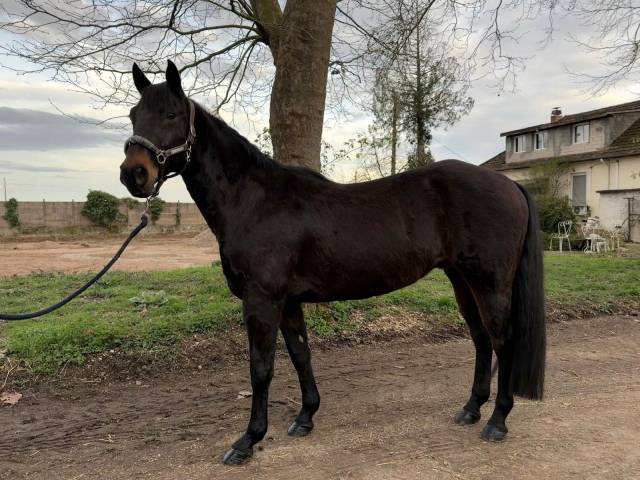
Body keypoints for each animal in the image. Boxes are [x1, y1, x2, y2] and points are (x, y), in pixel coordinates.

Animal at [120, 61, 546, 466]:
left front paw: (247, 441)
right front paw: (305, 417)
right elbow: (300, 355)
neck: (254, 201)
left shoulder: (262, 301)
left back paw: (497, 421)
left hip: (490, 284)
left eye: (172, 114)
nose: (133, 174)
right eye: (133, 114)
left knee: (502, 341)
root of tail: (508, 184)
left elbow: (261, 368)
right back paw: (471, 410)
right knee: (481, 340)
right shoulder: (288, 302)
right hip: (462, 281)